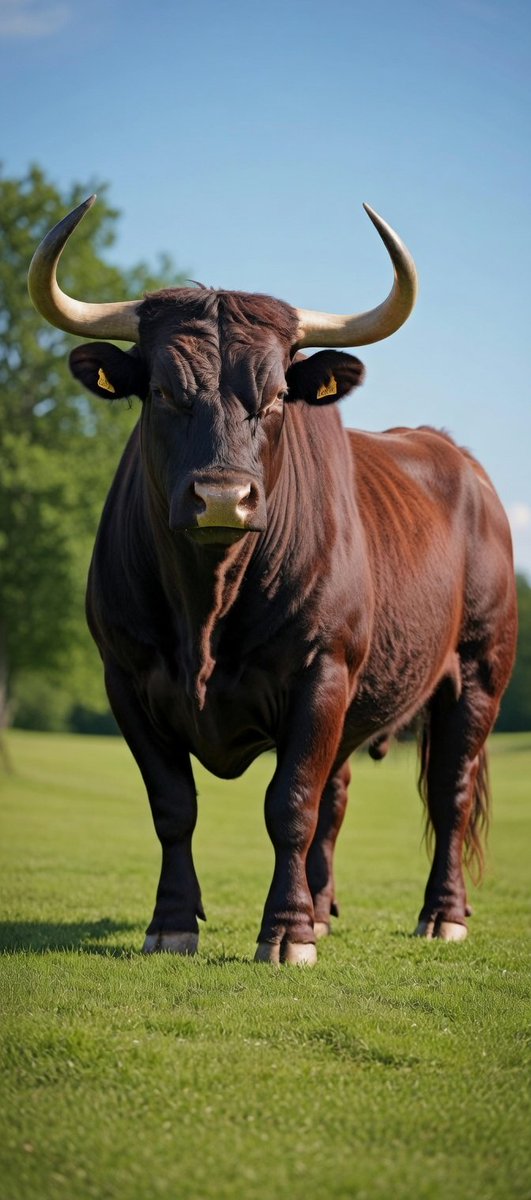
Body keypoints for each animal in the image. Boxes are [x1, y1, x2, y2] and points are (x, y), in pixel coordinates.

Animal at [28, 198, 517, 964]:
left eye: (279, 394)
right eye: (163, 391)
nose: (223, 498)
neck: (208, 601)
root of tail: (457, 459)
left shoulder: (321, 673)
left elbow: (289, 803)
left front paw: (286, 933)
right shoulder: (126, 680)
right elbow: (174, 805)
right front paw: (172, 922)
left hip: (477, 675)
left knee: (449, 794)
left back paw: (441, 914)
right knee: (339, 795)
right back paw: (323, 907)